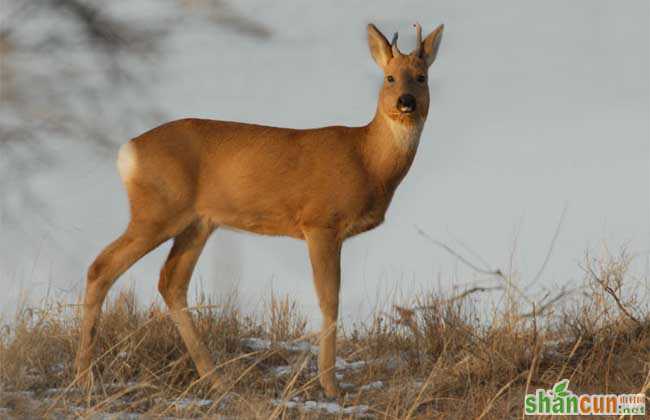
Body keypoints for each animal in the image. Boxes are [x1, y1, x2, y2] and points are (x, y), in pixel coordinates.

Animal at [74, 23, 440, 398]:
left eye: (421, 77)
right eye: (390, 78)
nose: (406, 102)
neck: (367, 160)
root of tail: (126, 152)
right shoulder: (320, 221)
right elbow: (329, 299)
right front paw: (330, 386)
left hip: (199, 222)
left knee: (171, 282)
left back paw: (216, 378)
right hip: (158, 209)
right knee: (102, 267)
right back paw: (85, 377)